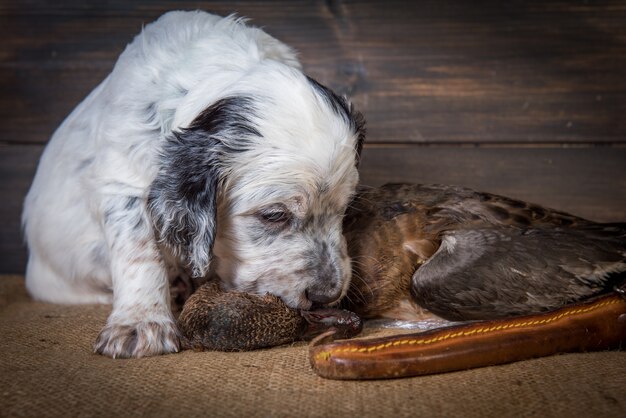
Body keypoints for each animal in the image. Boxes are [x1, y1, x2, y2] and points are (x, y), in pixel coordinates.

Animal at [24, 9, 364, 358]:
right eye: (274, 215)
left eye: (344, 210)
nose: (327, 295)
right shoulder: (121, 180)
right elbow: (138, 248)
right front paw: (141, 322)